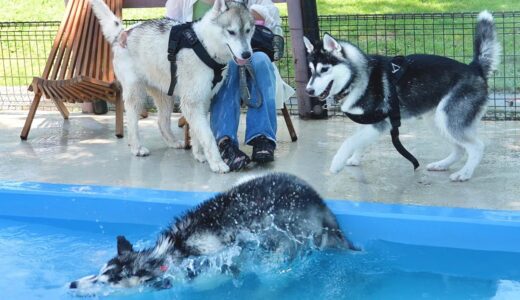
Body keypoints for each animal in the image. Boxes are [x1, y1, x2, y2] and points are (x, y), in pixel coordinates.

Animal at [69, 172, 354, 292]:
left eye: (108, 281)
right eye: (99, 273)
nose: (72, 284)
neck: (172, 255)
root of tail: (321, 205)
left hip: (281, 253)